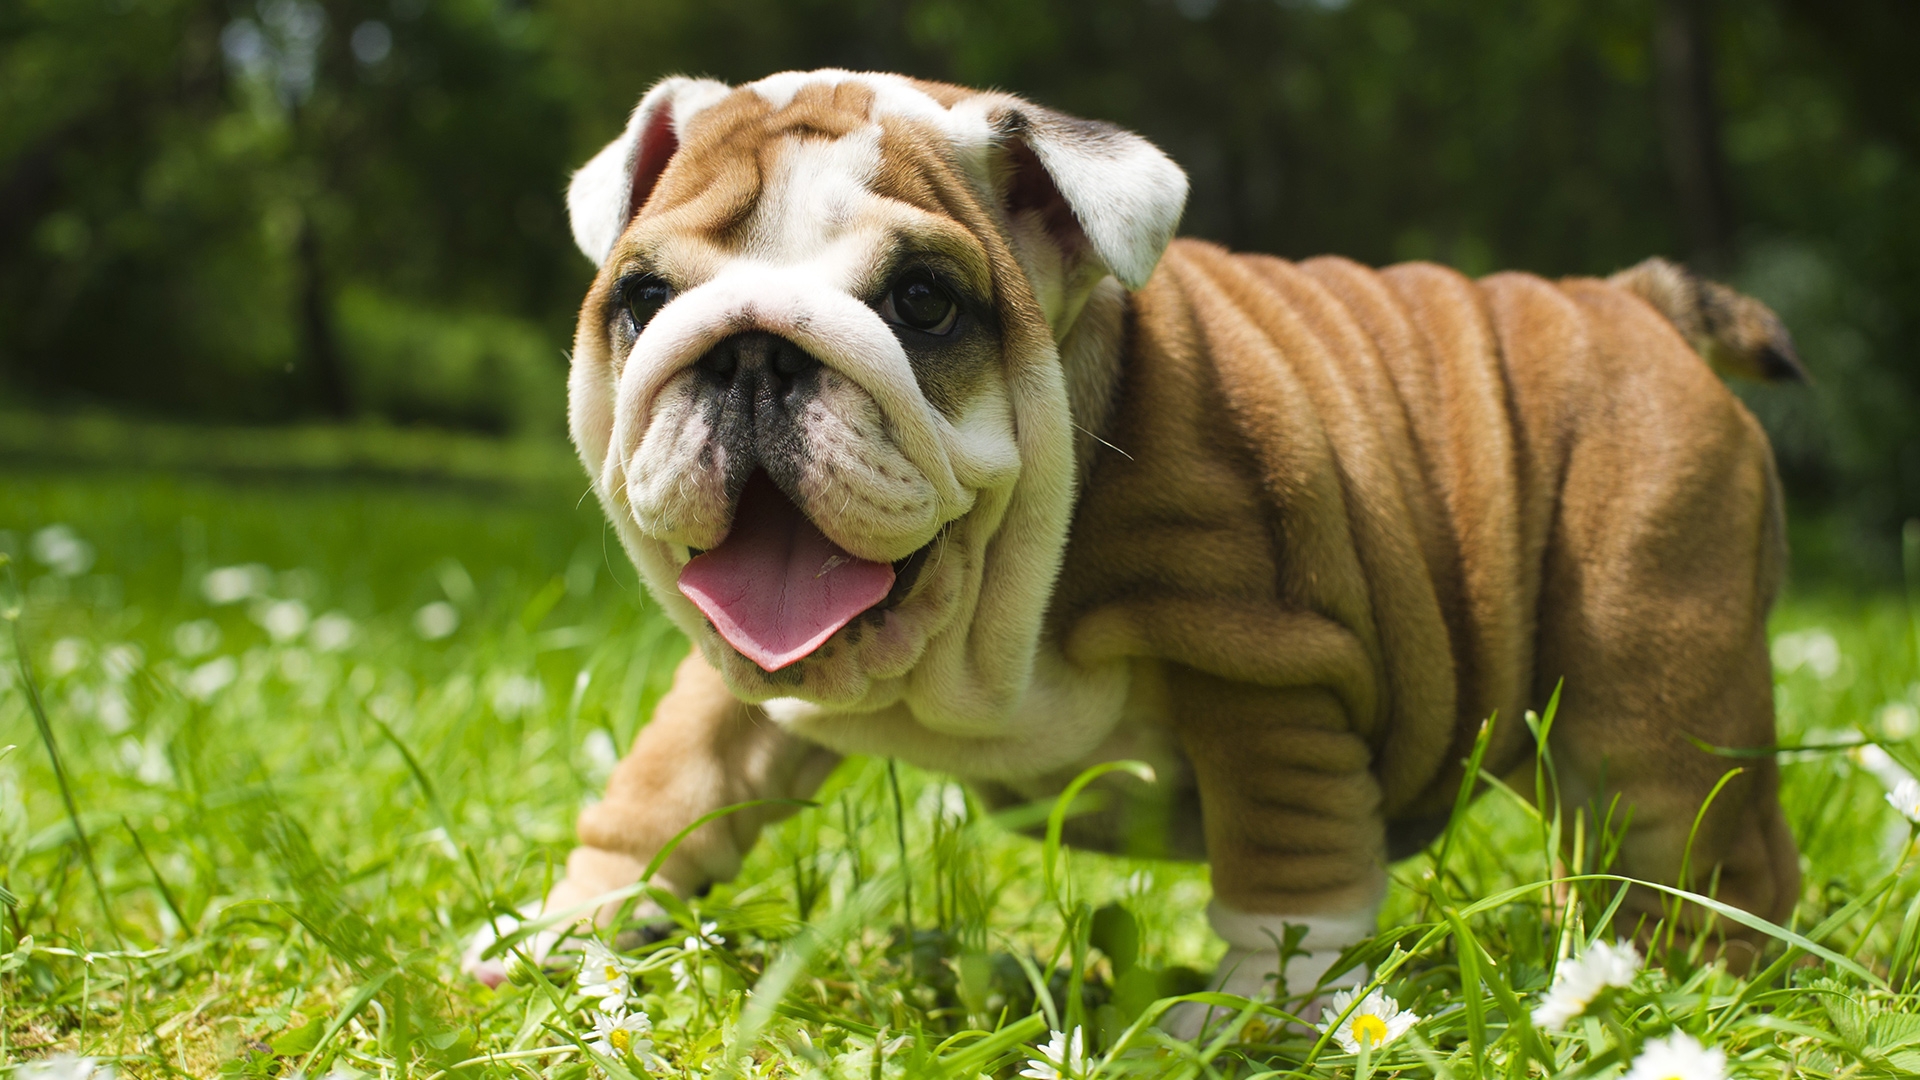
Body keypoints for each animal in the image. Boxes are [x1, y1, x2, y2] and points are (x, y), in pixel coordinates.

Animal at [460, 69, 1797, 1014]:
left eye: (924, 303)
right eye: (644, 299)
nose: (748, 351)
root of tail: (1636, 302)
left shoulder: (1267, 676)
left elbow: (1289, 881)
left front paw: (1255, 1022)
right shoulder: (738, 682)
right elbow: (666, 789)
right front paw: (566, 932)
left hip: (1650, 679)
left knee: (1704, 852)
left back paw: (1667, 994)